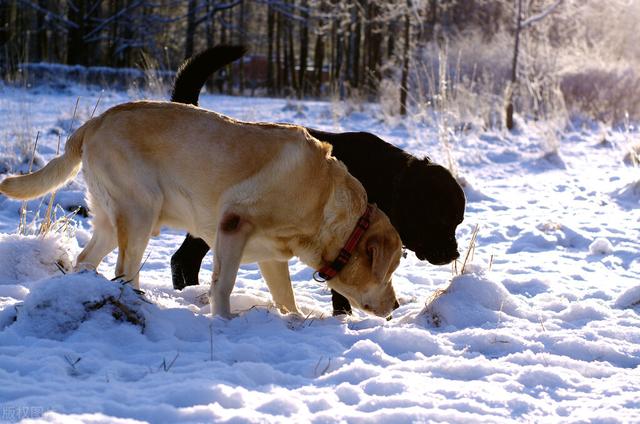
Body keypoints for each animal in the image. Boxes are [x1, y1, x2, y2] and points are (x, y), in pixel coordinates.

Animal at [0, 100, 400, 318]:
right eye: (391, 270)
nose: (396, 306)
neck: (323, 203)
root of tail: (95, 121)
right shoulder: (234, 225)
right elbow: (223, 284)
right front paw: (224, 322)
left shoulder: (272, 257)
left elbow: (285, 296)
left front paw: (294, 319)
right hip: (141, 209)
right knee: (125, 269)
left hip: (114, 218)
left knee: (87, 259)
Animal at [168, 46, 468, 314]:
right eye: (442, 220)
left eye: (458, 222)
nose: (454, 254)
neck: (388, 180)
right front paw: (343, 316)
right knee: (183, 258)